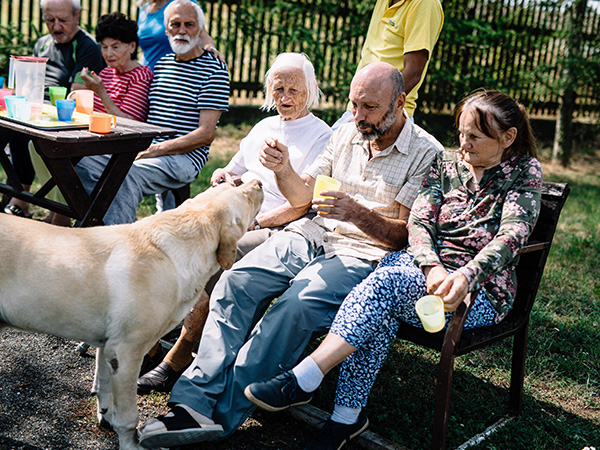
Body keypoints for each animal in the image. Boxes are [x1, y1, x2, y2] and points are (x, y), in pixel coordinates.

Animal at [0, 180, 262, 450]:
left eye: (231, 182)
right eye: (244, 194)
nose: (259, 182)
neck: (171, 252)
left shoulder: (107, 348)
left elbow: (103, 388)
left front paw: (105, 417)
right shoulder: (127, 352)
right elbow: (128, 417)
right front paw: (130, 443)